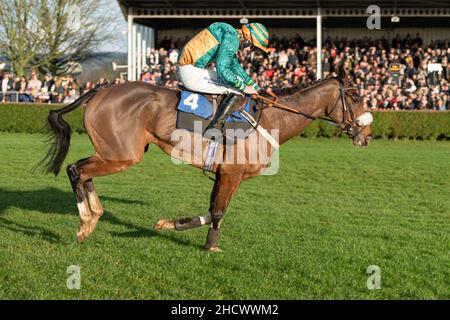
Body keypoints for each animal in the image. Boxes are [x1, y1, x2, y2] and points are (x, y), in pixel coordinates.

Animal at [40, 65, 372, 252]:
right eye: (356, 98)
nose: (367, 135)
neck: (270, 118)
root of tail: (98, 92)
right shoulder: (231, 174)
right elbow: (217, 212)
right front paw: (175, 226)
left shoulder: (225, 174)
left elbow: (215, 210)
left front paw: (205, 242)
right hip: (122, 155)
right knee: (75, 169)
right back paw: (85, 221)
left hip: (113, 152)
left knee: (84, 172)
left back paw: (93, 217)